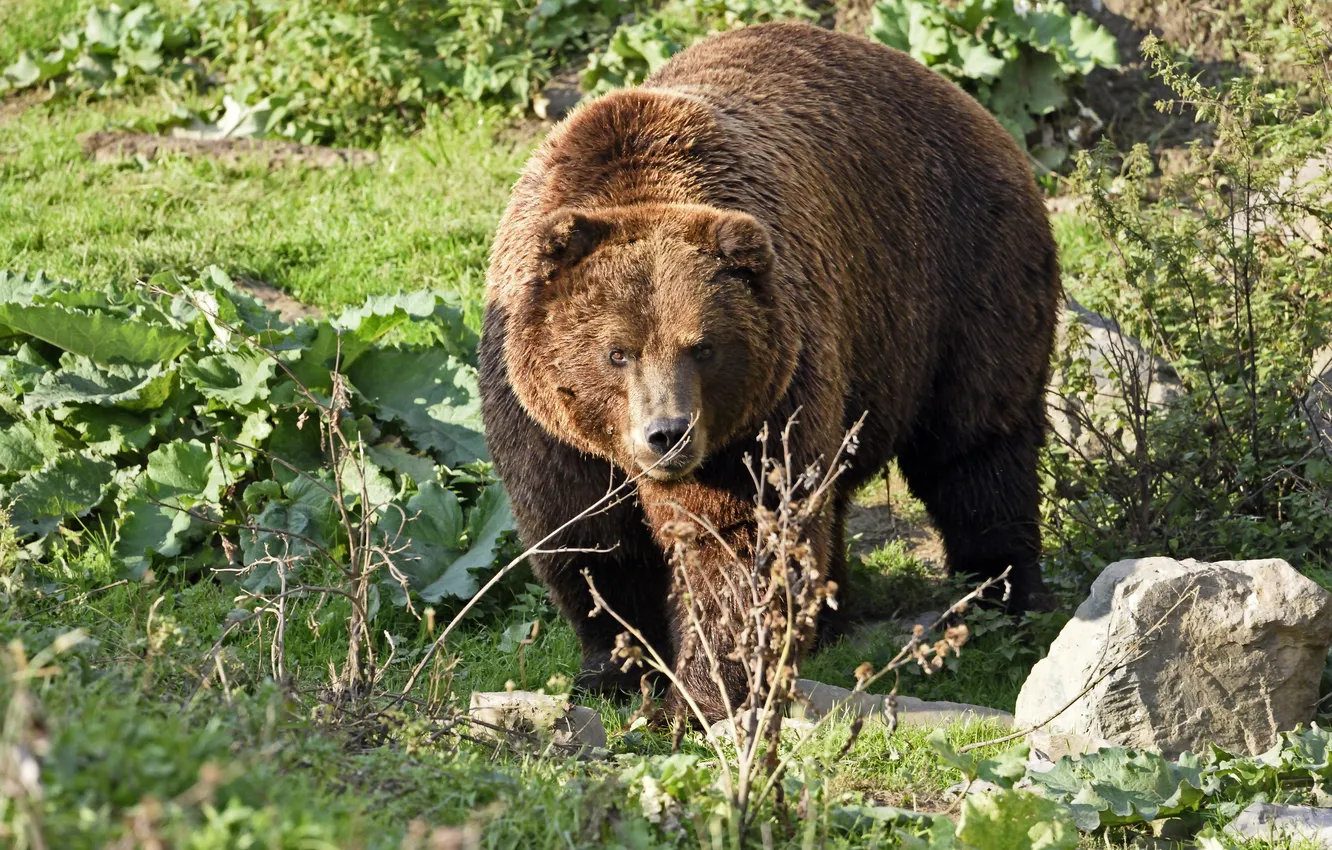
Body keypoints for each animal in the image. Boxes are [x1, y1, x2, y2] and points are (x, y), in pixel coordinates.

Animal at [479, 21, 1060, 724]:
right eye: (618, 352)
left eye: (702, 347)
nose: (667, 434)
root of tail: (965, 101)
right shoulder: (545, 424)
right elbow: (588, 541)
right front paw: (614, 669)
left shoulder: (765, 406)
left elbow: (743, 540)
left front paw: (701, 697)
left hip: (959, 278)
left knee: (977, 449)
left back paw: (1005, 595)